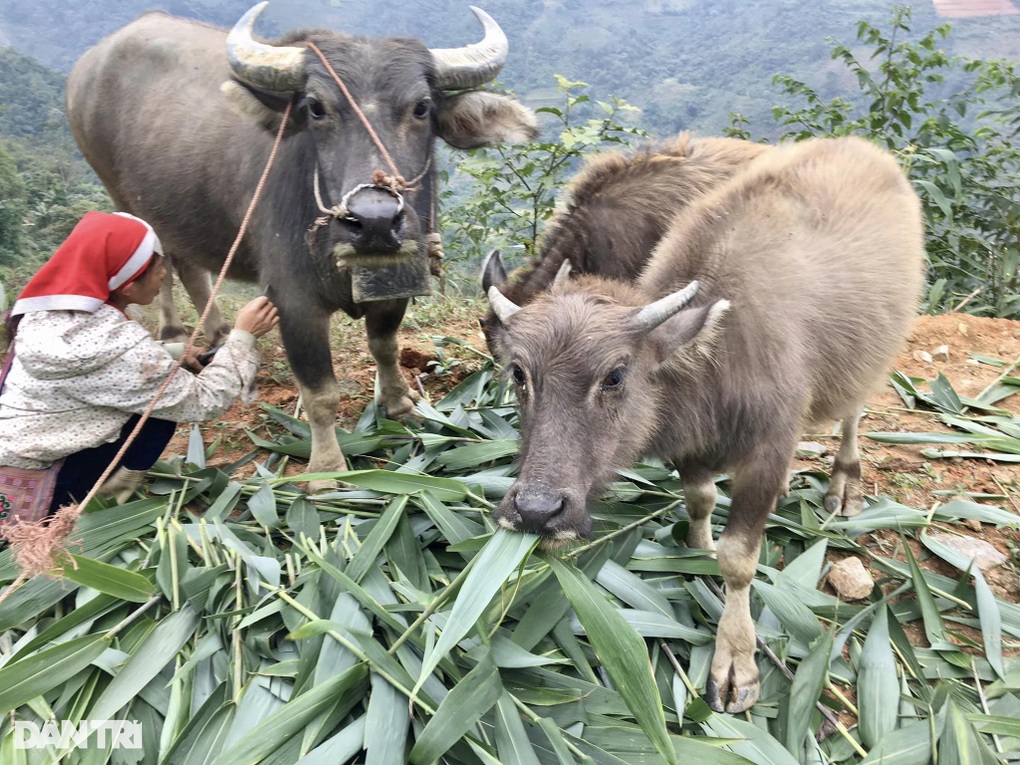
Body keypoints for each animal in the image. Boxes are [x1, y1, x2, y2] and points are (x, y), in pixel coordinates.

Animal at [66, 1, 538, 491]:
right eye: (315, 108)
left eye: (422, 107)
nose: (373, 220)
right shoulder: (293, 303)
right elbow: (320, 393)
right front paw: (327, 471)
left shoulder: (397, 286)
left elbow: (385, 347)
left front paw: (399, 404)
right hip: (123, 197)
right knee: (156, 261)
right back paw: (176, 336)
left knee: (190, 264)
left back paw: (218, 335)